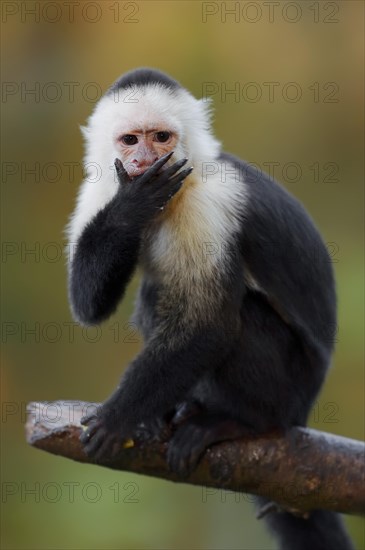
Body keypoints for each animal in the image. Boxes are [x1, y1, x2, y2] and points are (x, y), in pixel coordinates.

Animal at [67, 67, 354, 548]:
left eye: (161, 137)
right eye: (130, 140)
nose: (143, 158)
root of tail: (305, 406)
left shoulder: (212, 202)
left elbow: (211, 327)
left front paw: (120, 416)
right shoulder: (98, 189)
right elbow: (88, 306)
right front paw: (131, 206)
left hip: (291, 392)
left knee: (239, 316)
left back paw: (239, 421)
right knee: (154, 296)